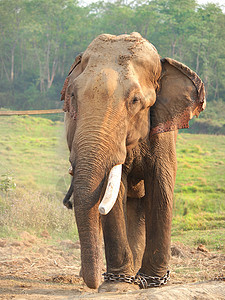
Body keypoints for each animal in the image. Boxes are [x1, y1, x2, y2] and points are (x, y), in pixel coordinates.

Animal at [59, 32, 206, 290]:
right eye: (73, 97)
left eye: (135, 100)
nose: (94, 283)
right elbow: (115, 192)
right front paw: (117, 286)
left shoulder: (163, 131)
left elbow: (160, 189)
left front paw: (154, 282)